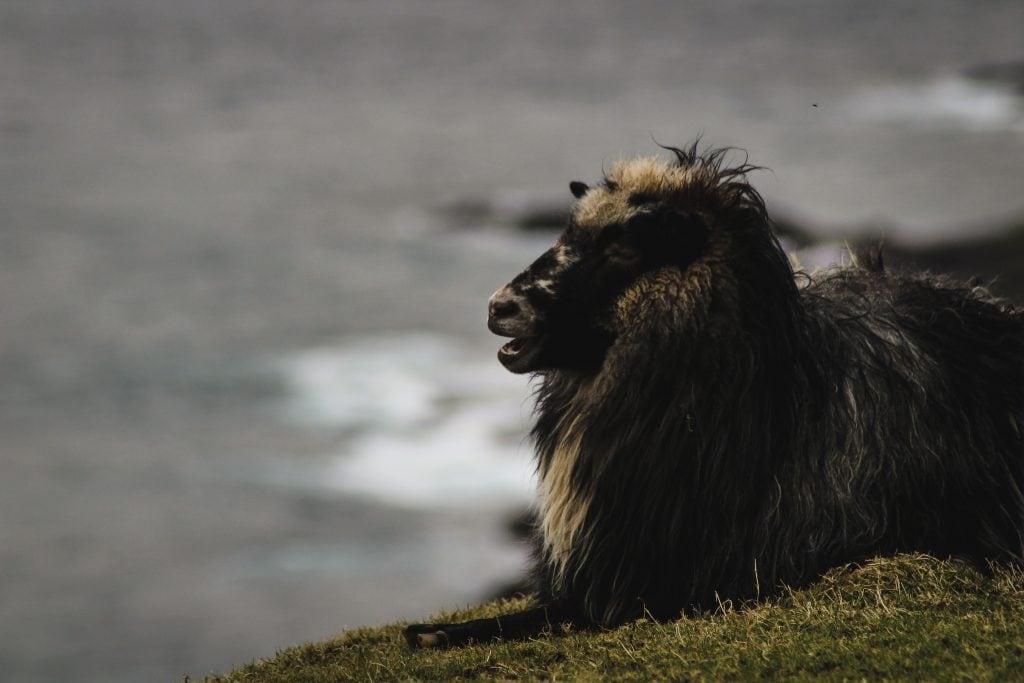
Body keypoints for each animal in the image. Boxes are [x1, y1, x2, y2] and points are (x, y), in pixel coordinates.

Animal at [401, 143, 1024, 647]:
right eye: (567, 233)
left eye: (624, 249)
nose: (499, 307)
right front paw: (430, 631)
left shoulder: (658, 587)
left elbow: (541, 618)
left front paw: (435, 633)